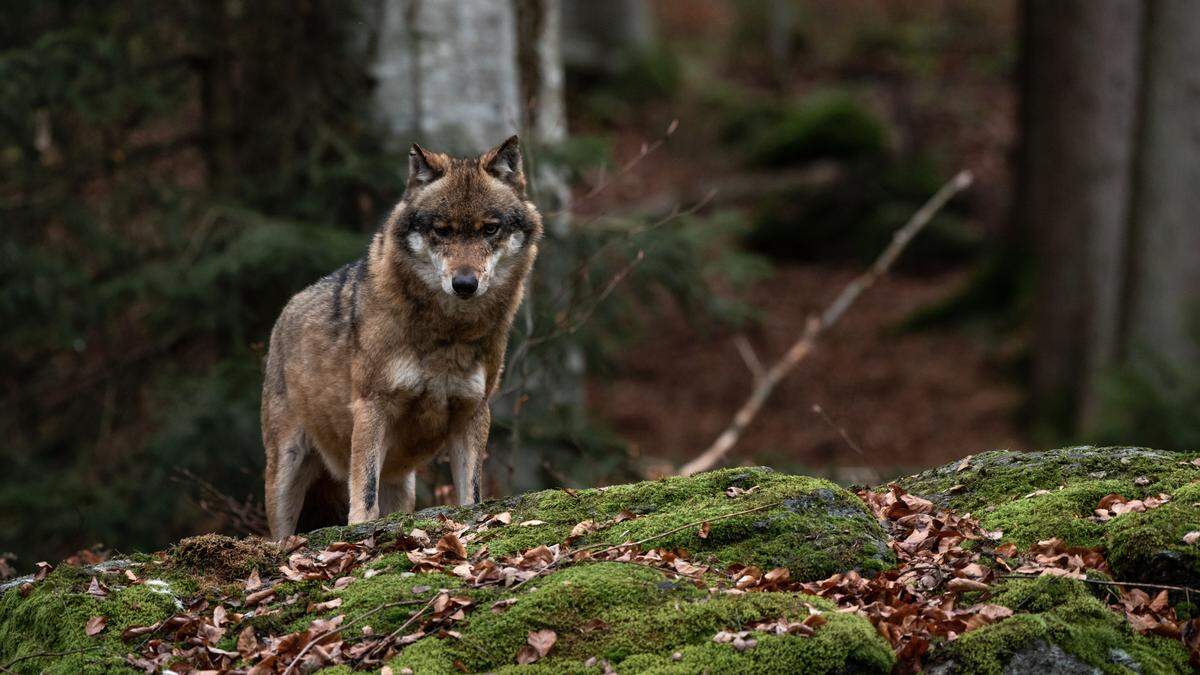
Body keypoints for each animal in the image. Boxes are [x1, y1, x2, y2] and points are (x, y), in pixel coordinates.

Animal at [266, 135, 544, 535]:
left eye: (490, 229)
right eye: (441, 230)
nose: (464, 284)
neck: (448, 333)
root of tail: (287, 309)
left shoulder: (473, 411)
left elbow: (471, 494)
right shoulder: (372, 405)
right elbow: (364, 494)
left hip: (401, 483)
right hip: (286, 474)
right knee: (279, 534)